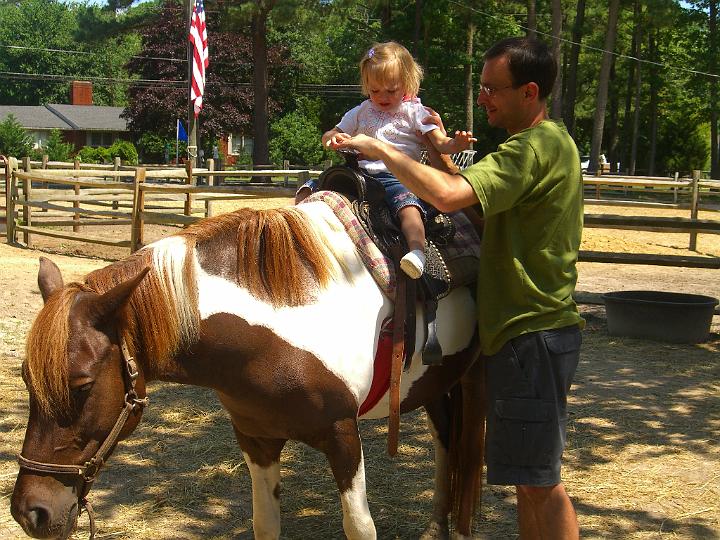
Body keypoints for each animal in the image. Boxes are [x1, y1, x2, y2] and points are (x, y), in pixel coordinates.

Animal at [9, 201, 484, 540]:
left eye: (82, 385)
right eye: (26, 379)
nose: (30, 513)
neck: (275, 329)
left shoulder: (343, 435)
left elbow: (359, 528)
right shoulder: (256, 439)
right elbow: (265, 525)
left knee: (467, 453)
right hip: (434, 384)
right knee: (446, 440)